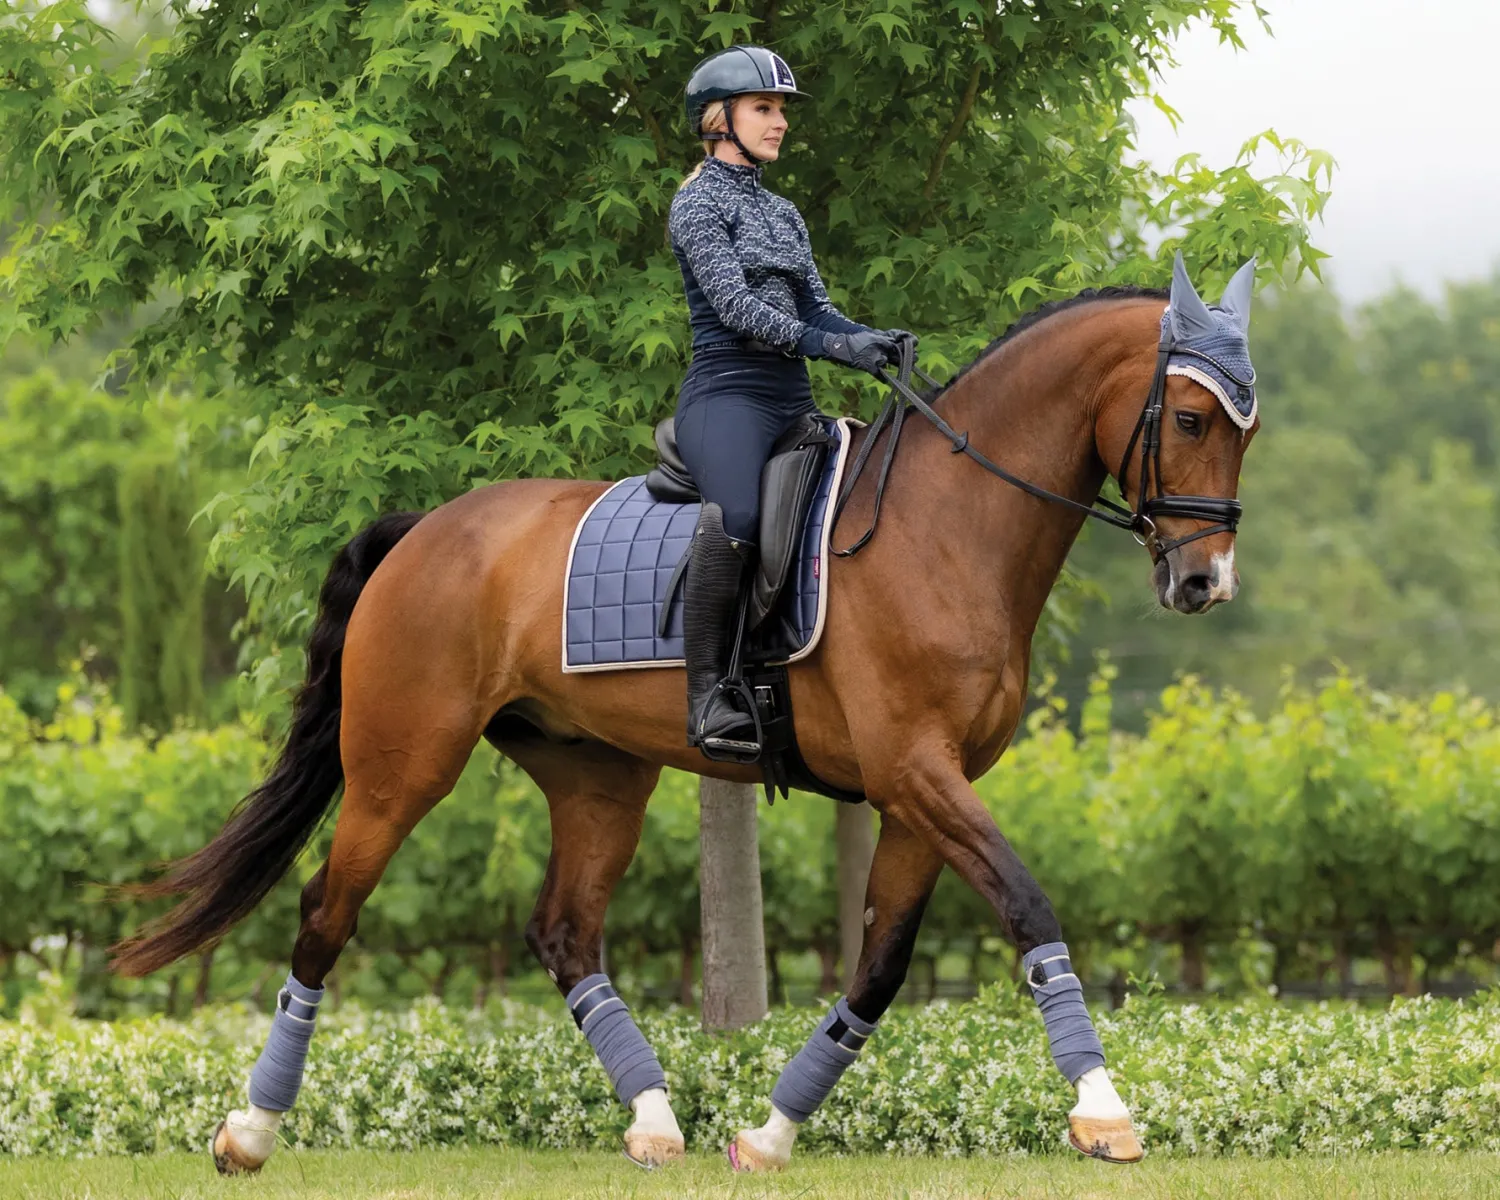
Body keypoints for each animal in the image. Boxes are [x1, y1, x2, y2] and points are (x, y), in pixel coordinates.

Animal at [111, 255, 1260, 1173]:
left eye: (1246, 431)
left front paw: (770, 1135)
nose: (1204, 583)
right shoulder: (916, 772)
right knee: (325, 915)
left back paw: (656, 1121)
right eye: (1190, 419)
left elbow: (880, 968)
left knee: (565, 932)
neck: (947, 527)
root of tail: (428, 526)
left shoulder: (921, 792)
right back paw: (249, 1131)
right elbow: (1027, 905)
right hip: (404, 768)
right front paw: (1104, 1112)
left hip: (598, 777)